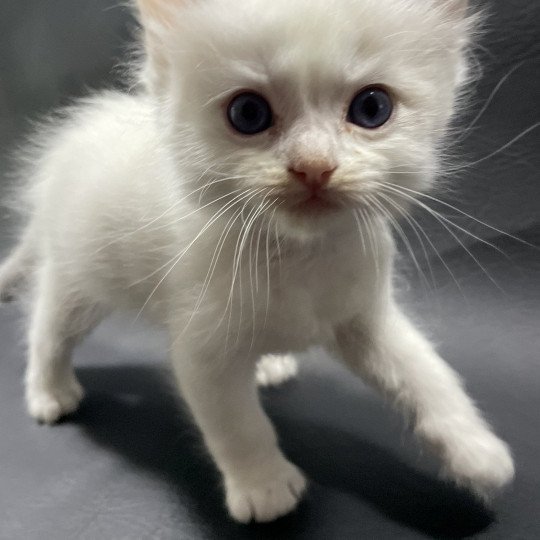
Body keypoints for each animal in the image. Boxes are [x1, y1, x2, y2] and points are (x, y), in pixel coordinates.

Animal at [0, 0, 516, 524]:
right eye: (248, 113)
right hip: (78, 276)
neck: (301, 254)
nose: (314, 166)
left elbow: (425, 372)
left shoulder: (365, 319)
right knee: (47, 330)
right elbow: (239, 424)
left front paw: (475, 450)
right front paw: (263, 486)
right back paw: (48, 392)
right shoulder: (204, 351)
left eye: (372, 108)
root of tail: (68, 144)